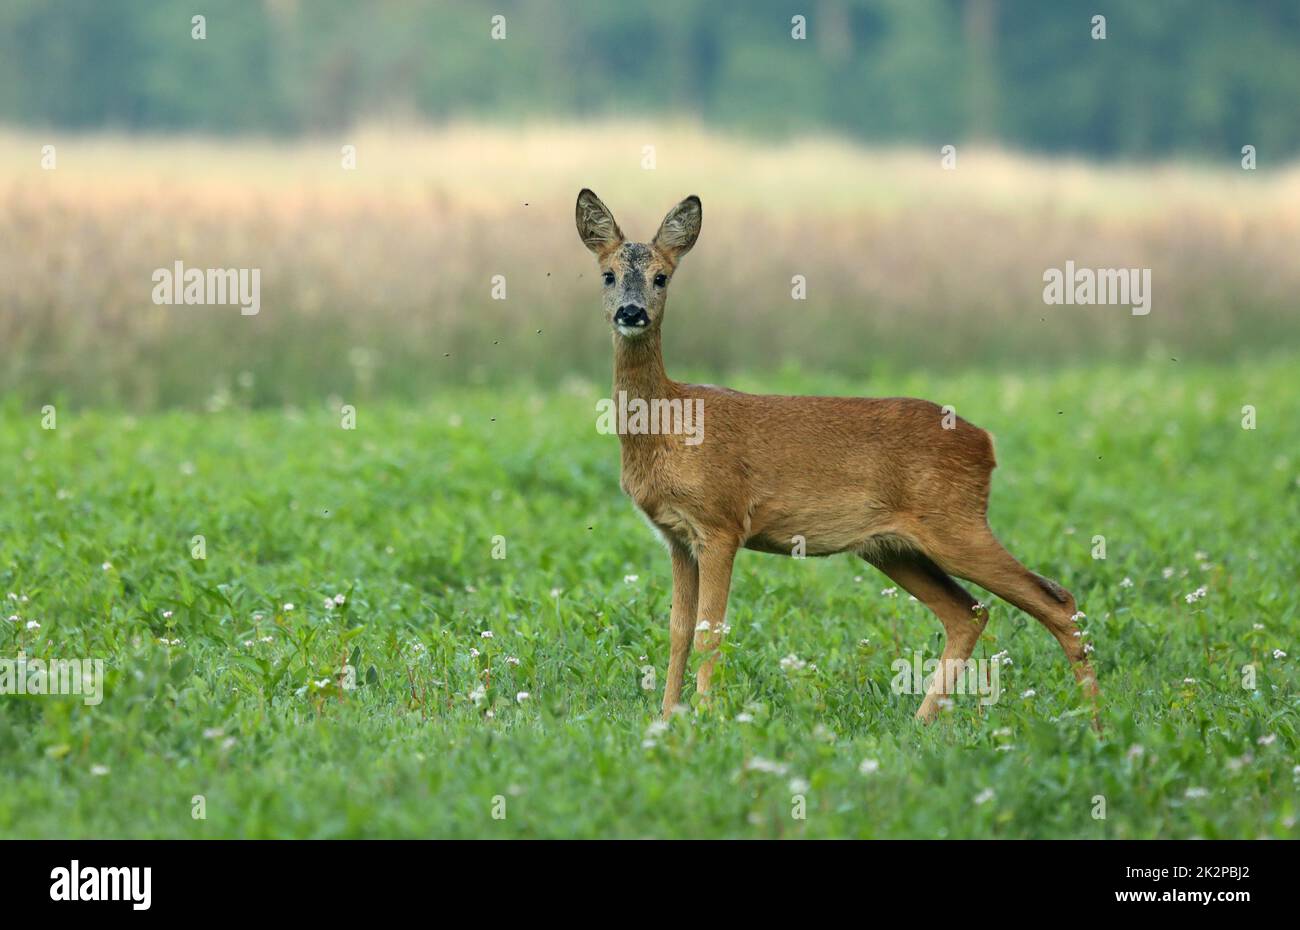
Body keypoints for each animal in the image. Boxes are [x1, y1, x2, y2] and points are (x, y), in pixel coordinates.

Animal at [577, 191, 1097, 728]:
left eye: (662, 277)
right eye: (608, 274)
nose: (632, 312)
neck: (671, 426)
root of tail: (987, 444)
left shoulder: (721, 522)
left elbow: (710, 630)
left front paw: (706, 718)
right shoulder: (676, 537)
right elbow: (678, 630)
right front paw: (665, 719)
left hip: (957, 523)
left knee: (1056, 599)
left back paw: (1096, 723)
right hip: (893, 548)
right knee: (969, 612)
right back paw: (922, 722)